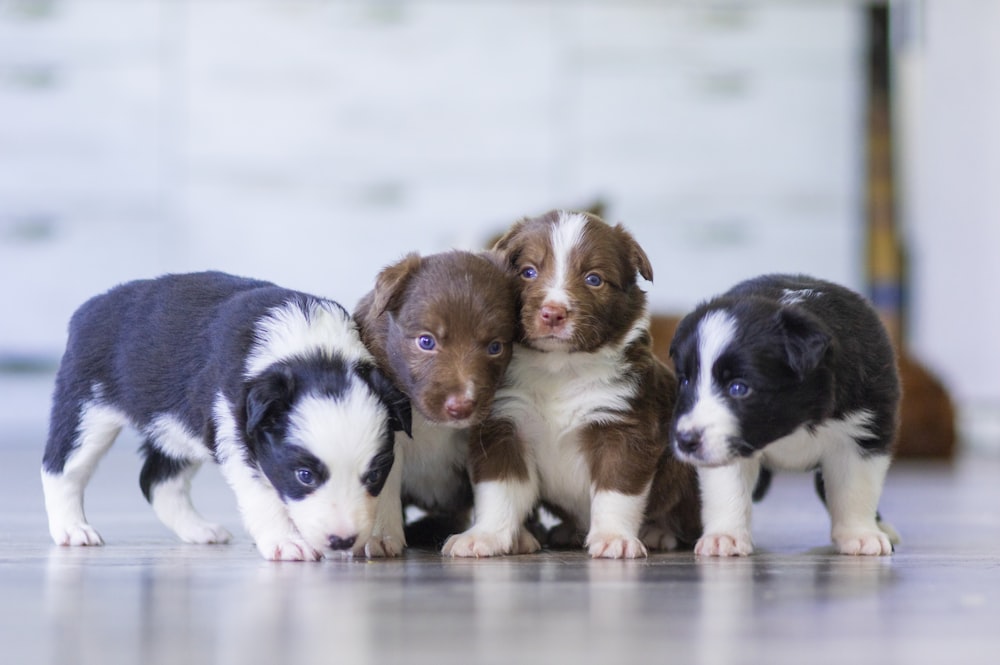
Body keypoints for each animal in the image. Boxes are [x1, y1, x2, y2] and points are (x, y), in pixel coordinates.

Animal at [42, 270, 410, 560]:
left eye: (373, 476)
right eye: (305, 476)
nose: (342, 540)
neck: (314, 354)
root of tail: (91, 306)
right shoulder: (235, 430)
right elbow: (263, 495)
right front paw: (286, 542)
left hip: (175, 429)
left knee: (157, 480)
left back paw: (198, 529)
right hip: (86, 409)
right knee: (61, 469)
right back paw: (73, 529)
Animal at [446, 210, 704, 556]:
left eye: (593, 279)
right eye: (528, 272)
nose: (552, 313)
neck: (559, 369)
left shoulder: (624, 427)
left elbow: (616, 492)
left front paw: (613, 538)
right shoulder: (503, 426)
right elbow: (499, 490)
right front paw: (484, 536)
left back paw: (658, 532)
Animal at [672, 274, 900, 556]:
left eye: (739, 388)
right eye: (685, 381)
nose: (685, 441)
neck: (796, 423)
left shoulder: (863, 431)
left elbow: (854, 489)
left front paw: (860, 535)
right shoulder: (731, 445)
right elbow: (728, 489)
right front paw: (724, 536)